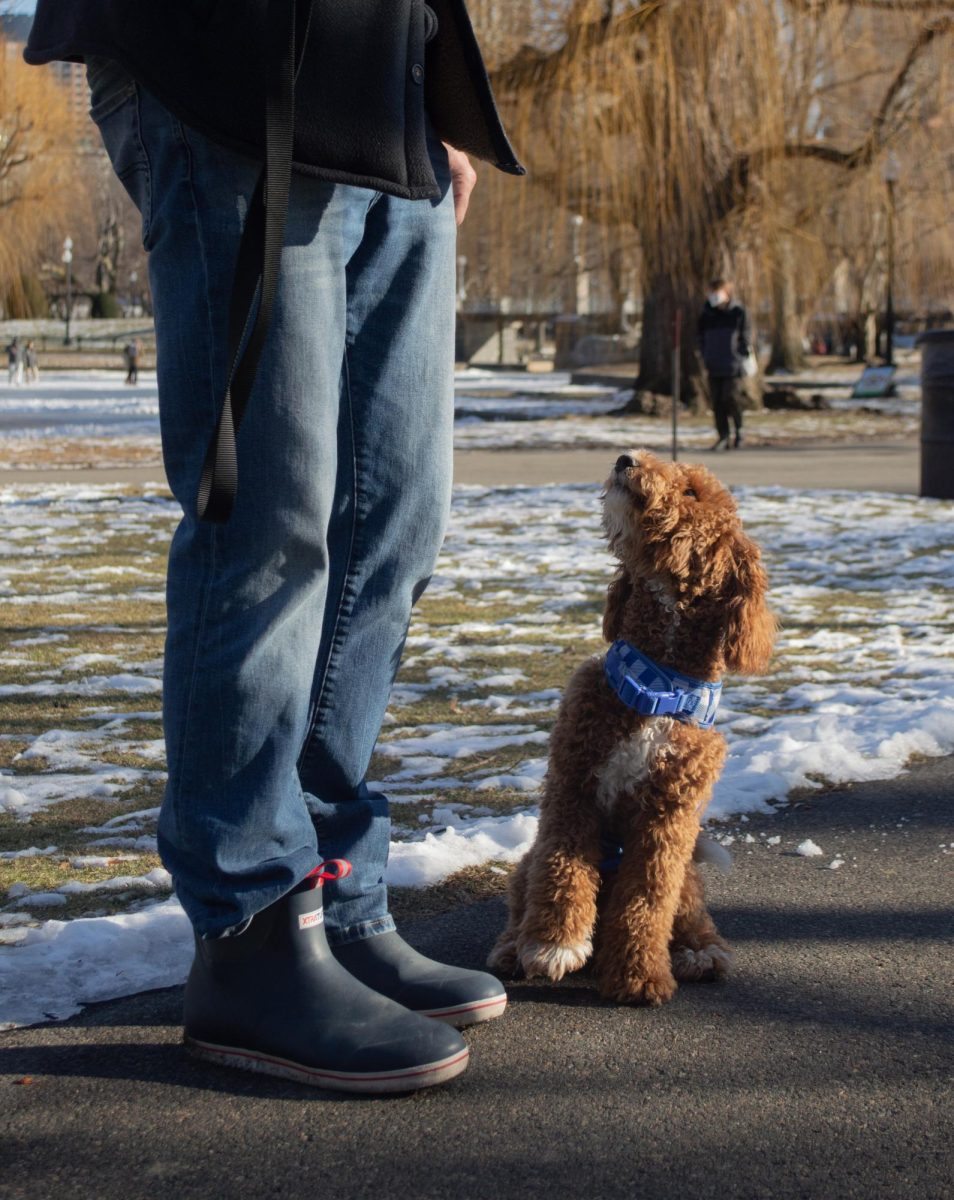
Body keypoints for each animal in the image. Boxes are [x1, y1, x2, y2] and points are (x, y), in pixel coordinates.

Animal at [492, 451, 777, 1003]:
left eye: (691, 493)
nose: (627, 458)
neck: (656, 687)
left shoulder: (668, 818)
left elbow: (647, 897)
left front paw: (639, 973)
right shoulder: (574, 784)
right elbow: (563, 867)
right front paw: (554, 944)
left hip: (688, 874)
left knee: (687, 911)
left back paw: (700, 952)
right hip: (525, 865)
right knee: (523, 897)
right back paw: (514, 947)